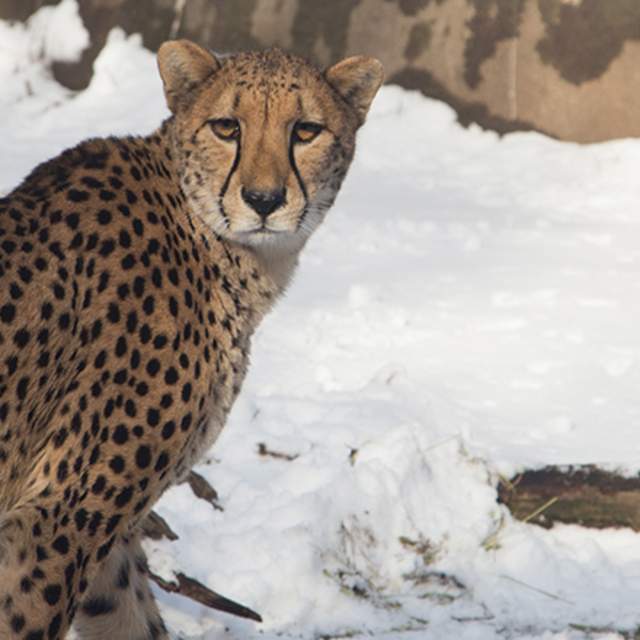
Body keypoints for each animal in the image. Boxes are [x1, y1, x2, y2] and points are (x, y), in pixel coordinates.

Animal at [0, 39, 382, 640]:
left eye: (306, 131)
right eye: (227, 126)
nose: (264, 199)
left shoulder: (98, 531)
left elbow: (132, 615)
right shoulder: (55, 517)